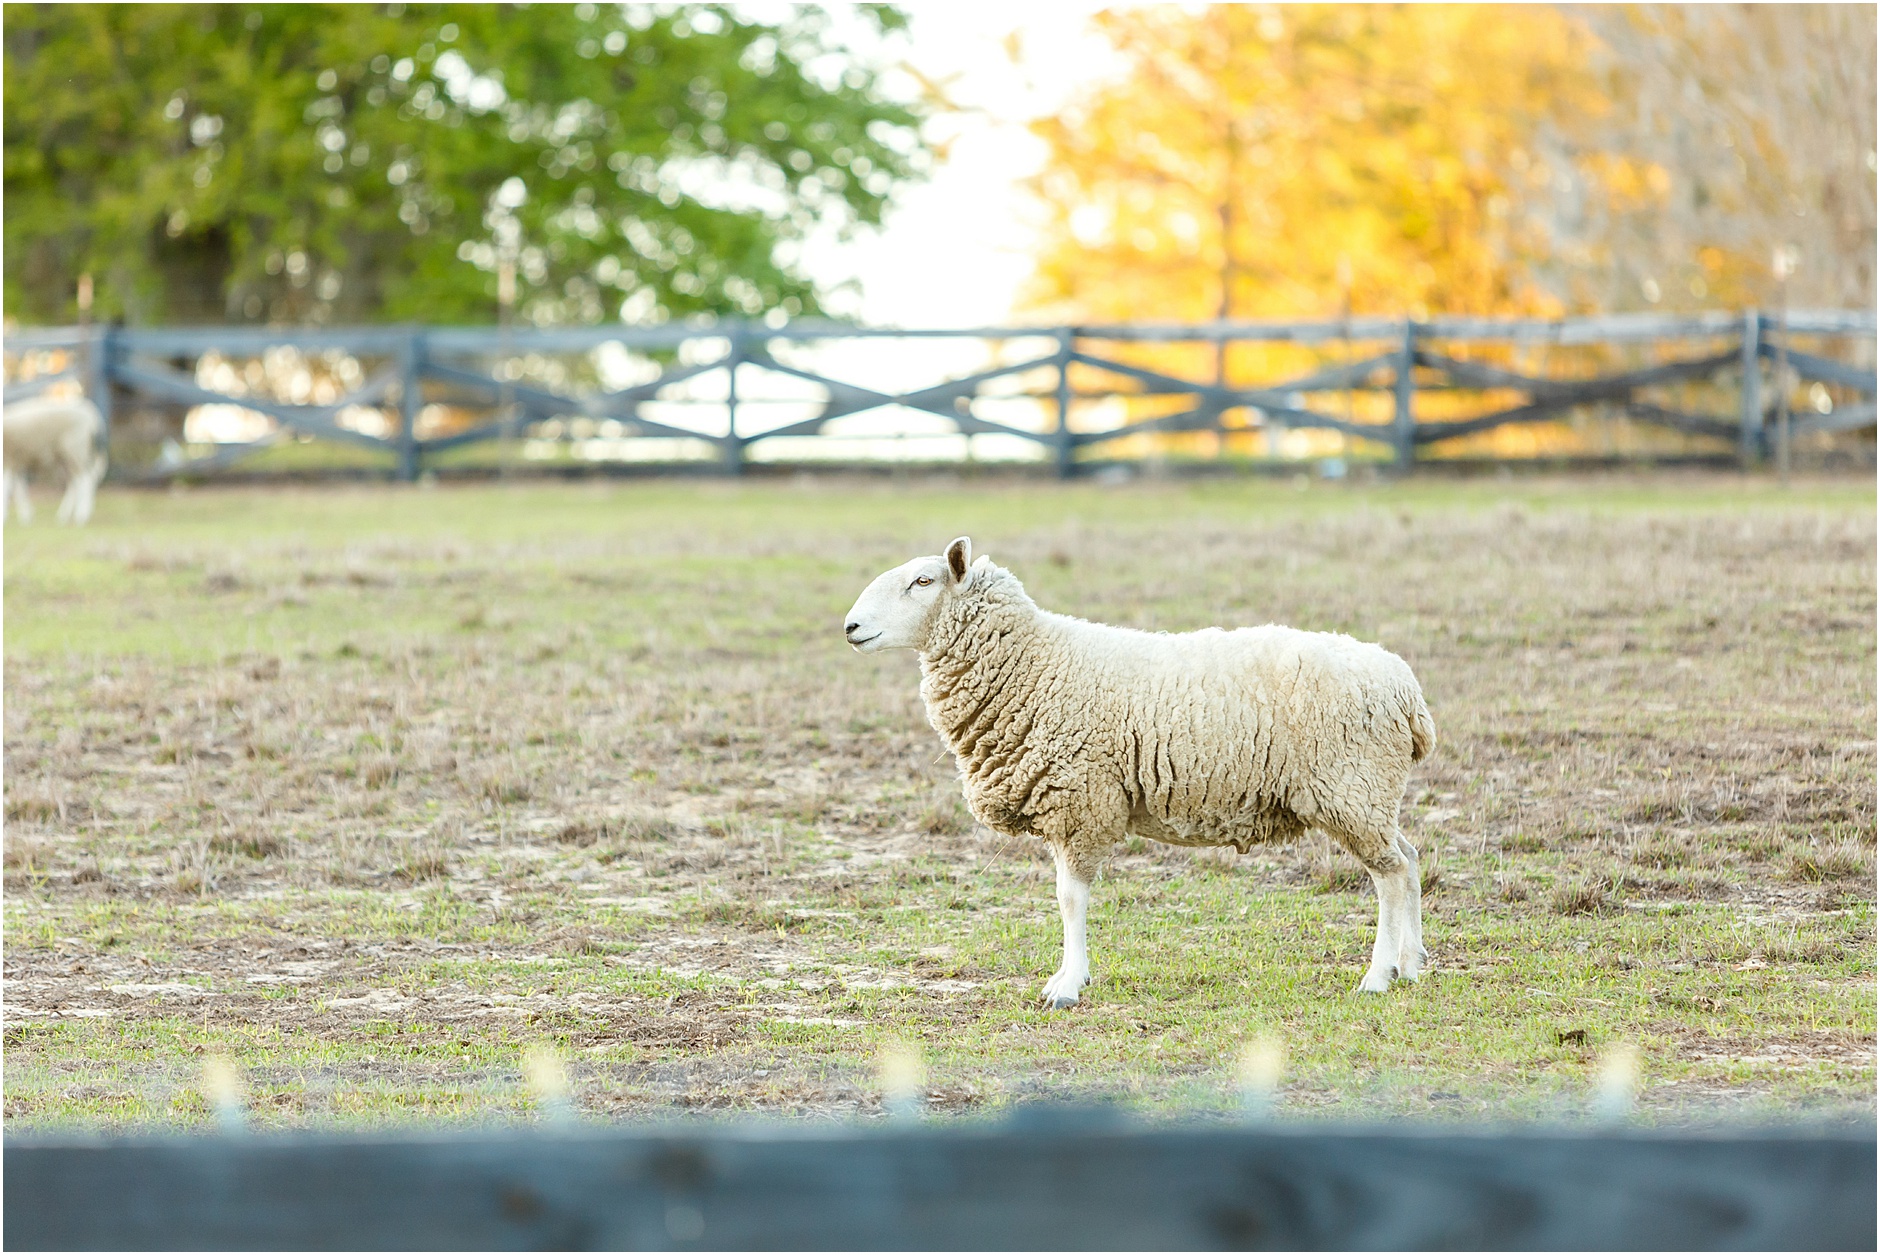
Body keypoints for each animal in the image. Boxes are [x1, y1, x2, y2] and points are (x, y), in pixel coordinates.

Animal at [2, 396, 107, 526]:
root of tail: (92, 416)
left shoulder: (9, 459)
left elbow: (7, 487)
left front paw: (6, 515)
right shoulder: (16, 461)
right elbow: (18, 489)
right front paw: (26, 516)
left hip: (76, 450)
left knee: (85, 480)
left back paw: (81, 516)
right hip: (69, 456)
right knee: (77, 481)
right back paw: (65, 515)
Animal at [846, 533, 1428, 1007]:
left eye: (922, 581)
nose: (850, 626)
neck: (1034, 662)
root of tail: (1407, 691)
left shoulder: (1082, 801)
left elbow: (1069, 898)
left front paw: (1068, 984)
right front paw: (1068, 978)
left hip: (1351, 786)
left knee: (1390, 875)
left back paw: (1378, 976)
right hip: (1371, 793)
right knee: (1410, 859)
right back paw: (1412, 964)